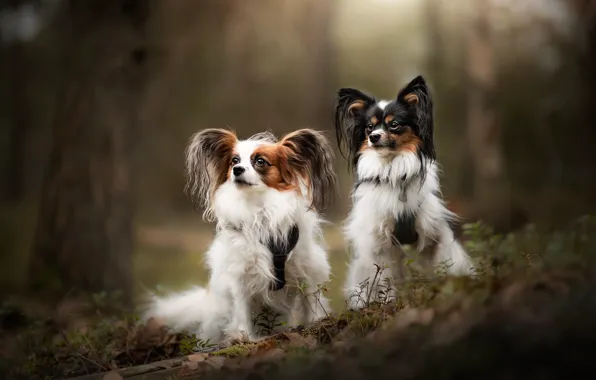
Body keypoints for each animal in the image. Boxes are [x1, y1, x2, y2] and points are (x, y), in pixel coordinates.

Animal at [144, 127, 336, 344]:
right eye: (234, 160)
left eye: (260, 161)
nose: (237, 170)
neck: (259, 208)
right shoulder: (239, 273)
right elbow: (241, 309)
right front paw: (245, 337)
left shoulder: (307, 266)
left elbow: (311, 299)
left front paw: (316, 322)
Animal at [336, 75, 474, 310]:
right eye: (369, 127)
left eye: (394, 125)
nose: (374, 137)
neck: (394, 174)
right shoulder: (381, 243)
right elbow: (384, 278)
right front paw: (387, 302)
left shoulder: (432, 234)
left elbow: (439, 265)